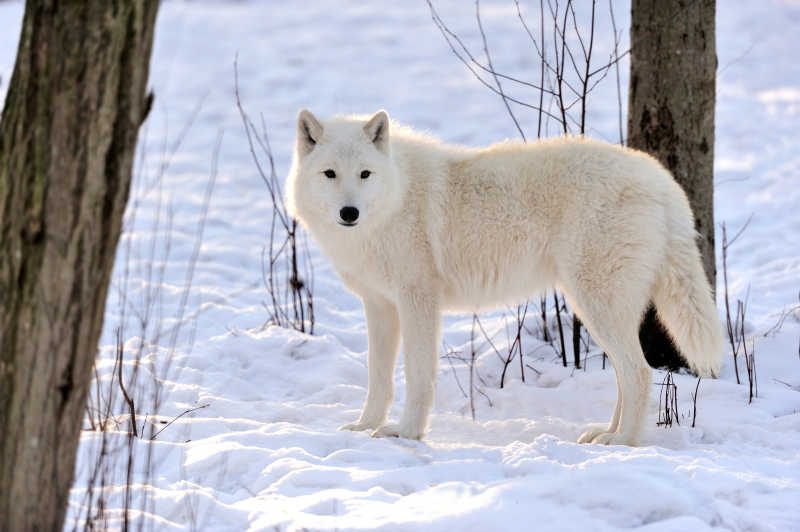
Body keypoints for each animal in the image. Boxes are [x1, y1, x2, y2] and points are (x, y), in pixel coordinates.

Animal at [288, 108, 724, 444]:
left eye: (364, 174)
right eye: (330, 174)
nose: (349, 213)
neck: (396, 198)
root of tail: (661, 180)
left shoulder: (418, 301)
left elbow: (417, 374)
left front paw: (407, 434)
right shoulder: (379, 305)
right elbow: (378, 376)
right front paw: (365, 427)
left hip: (596, 305)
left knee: (639, 372)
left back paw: (623, 442)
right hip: (597, 308)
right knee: (626, 376)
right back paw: (605, 433)